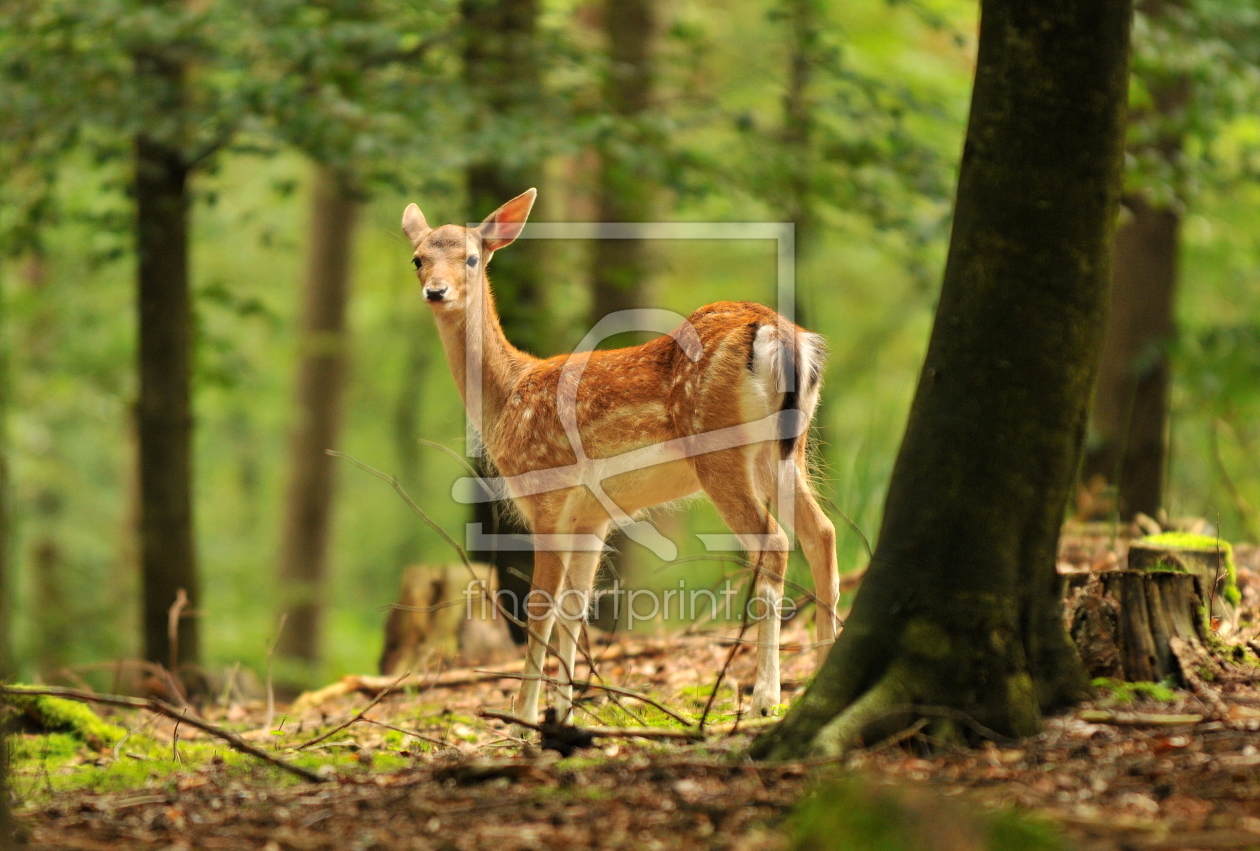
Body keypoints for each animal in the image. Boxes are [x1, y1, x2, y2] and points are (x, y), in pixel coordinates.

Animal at [400, 187, 836, 726]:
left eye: (472, 257)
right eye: (418, 258)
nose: (436, 291)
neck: (508, 398)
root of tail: (782, 336)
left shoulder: (547, 495)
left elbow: (540, 607)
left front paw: (523, 718)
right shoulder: (592, 517)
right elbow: (575, 607)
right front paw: (562, 715)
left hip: (720, 449)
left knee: (773, 542)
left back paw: (765, 697)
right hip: (784, 450)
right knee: (821, 533)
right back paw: (818, 678)